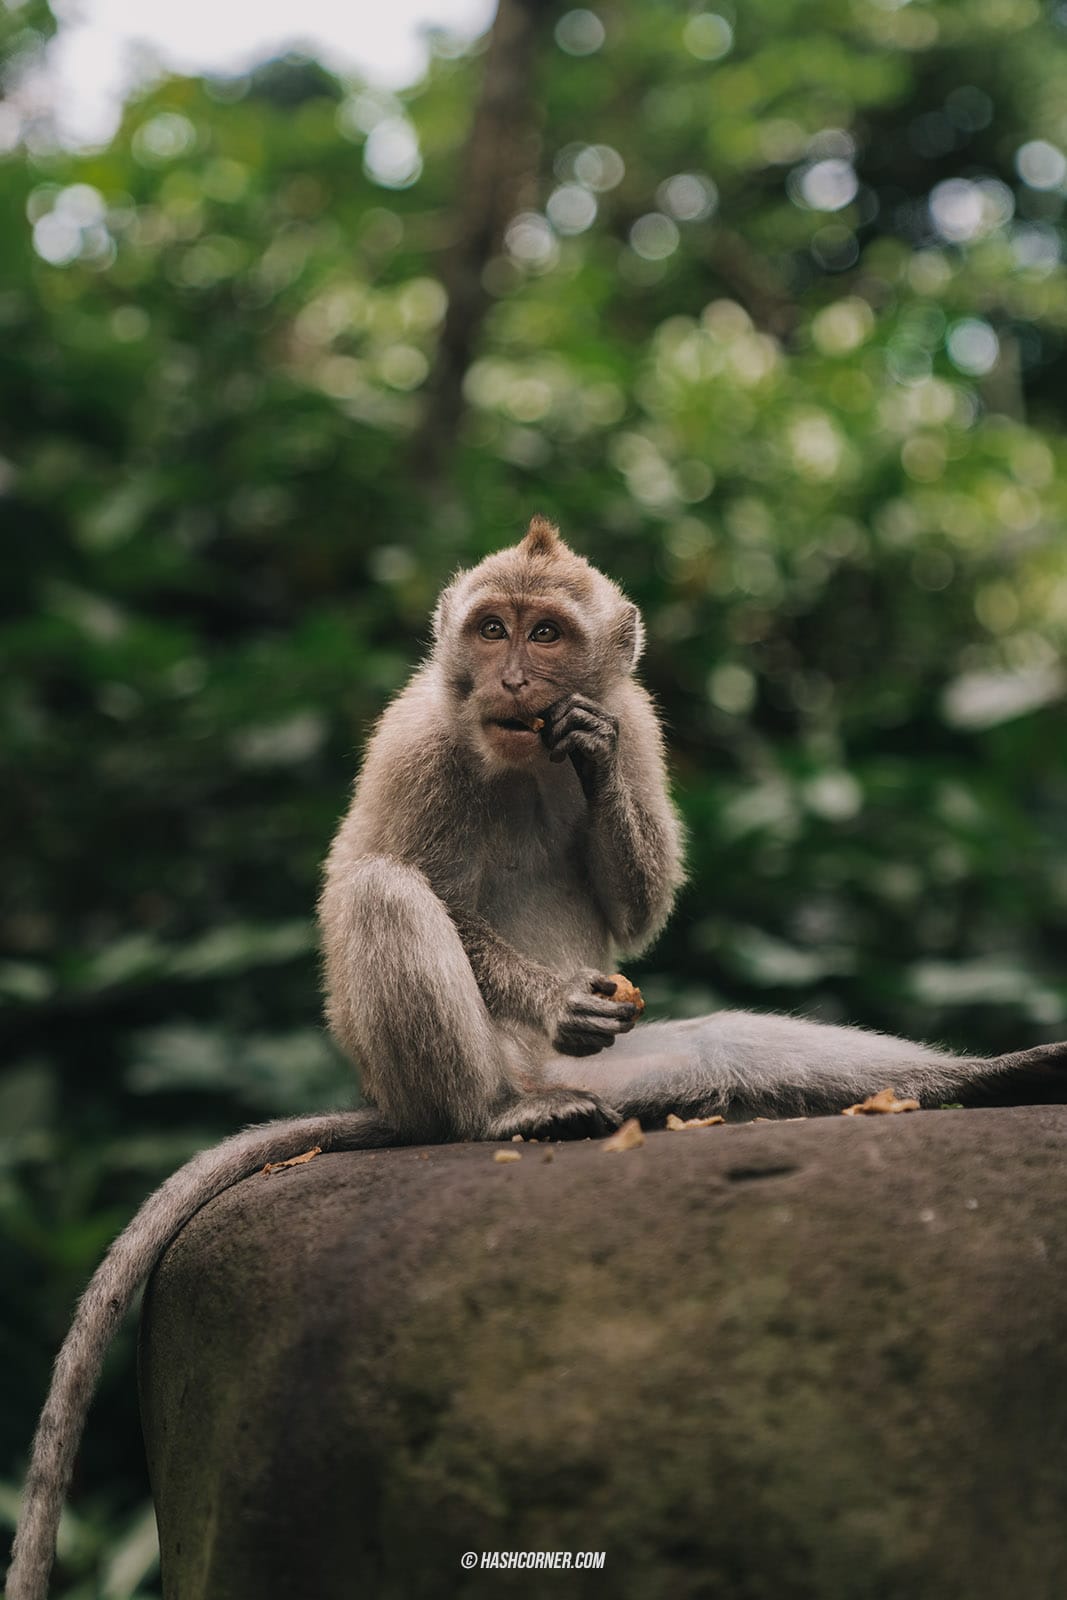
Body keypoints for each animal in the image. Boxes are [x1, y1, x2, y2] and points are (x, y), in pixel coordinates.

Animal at [6, 518, 1062, 1593]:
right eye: (492, 629)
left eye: (546, 633)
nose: (512, 678)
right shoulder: (421, 739)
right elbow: (393, 874)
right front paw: (556, 994)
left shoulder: (638, 720)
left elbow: (638, 909)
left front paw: (589, 761)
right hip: (436, 1070)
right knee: (384, 893)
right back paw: (490, 1117)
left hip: (621, 1075)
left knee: (719, 1048)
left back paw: (989, 1077)